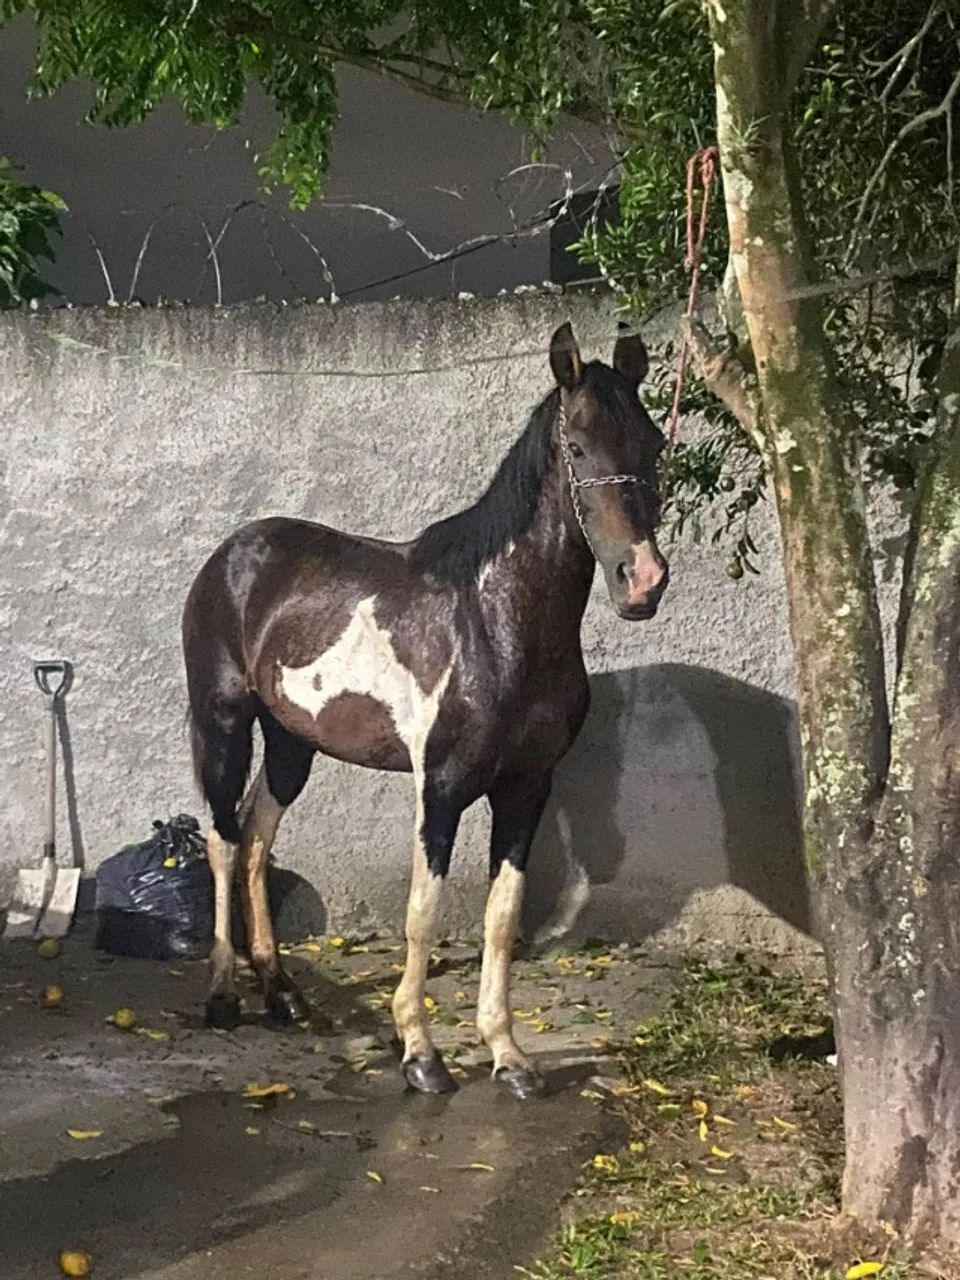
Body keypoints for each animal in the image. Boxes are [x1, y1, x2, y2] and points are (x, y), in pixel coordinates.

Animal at [181, 321, 667, 1099]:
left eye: (651, 443)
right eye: (578, 446)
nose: (642, 581)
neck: (495, 622)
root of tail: (233, 553)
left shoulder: (526, 788)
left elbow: (502, 918)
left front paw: (509, 1057)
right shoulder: (439, 787)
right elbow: (423, 913)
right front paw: (419, 1053)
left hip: (292, 743)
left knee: (257, 835)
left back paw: (283, 992)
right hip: (224, 723)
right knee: (223, 839)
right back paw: (224, 995)